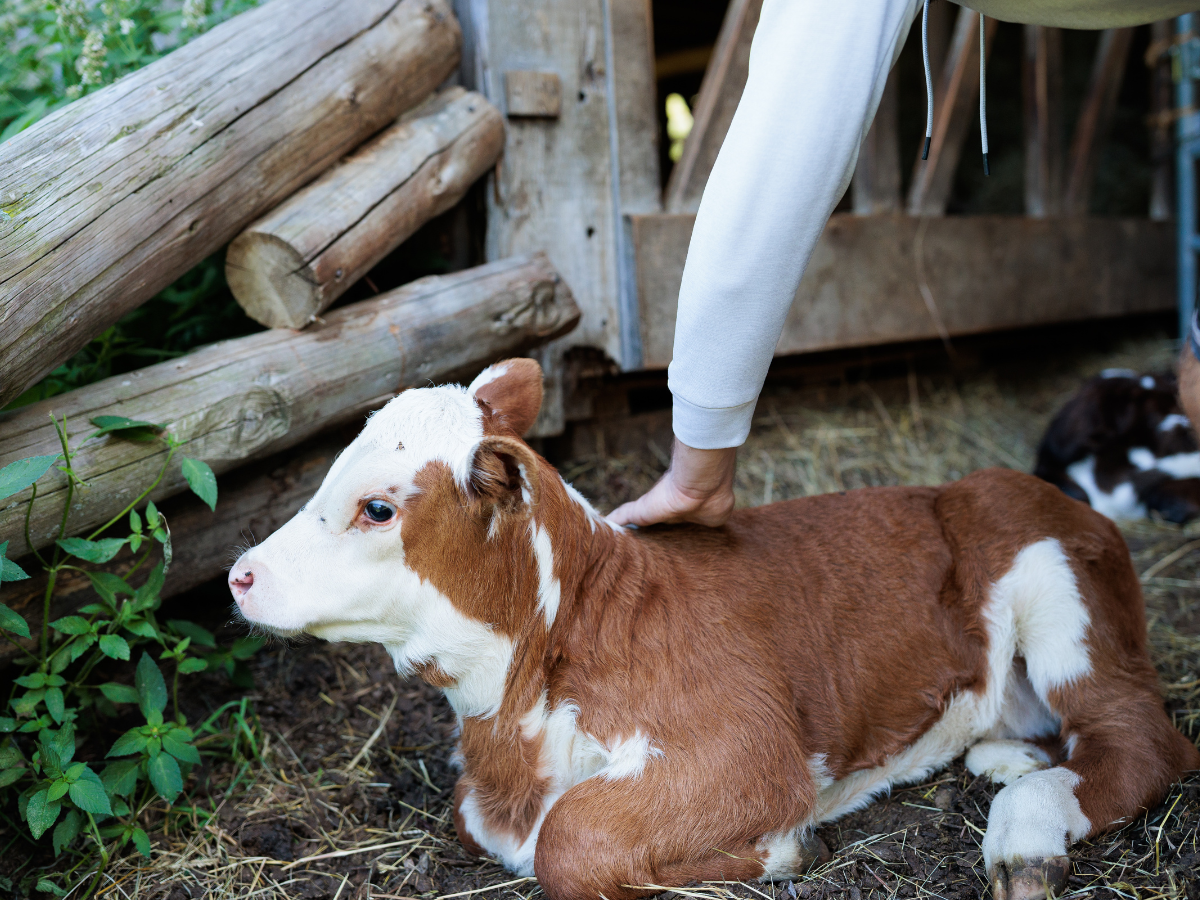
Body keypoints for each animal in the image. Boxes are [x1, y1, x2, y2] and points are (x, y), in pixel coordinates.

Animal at [229, 359, 1199, 900]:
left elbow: (569, 844)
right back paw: (1009, 755)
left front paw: (778, 851)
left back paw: (1026, 837)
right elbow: (491, 824)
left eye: (378, 507)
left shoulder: (748, 746)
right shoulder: (487, 794)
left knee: (1139, 737)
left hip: (1059, 583)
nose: (240, 574)